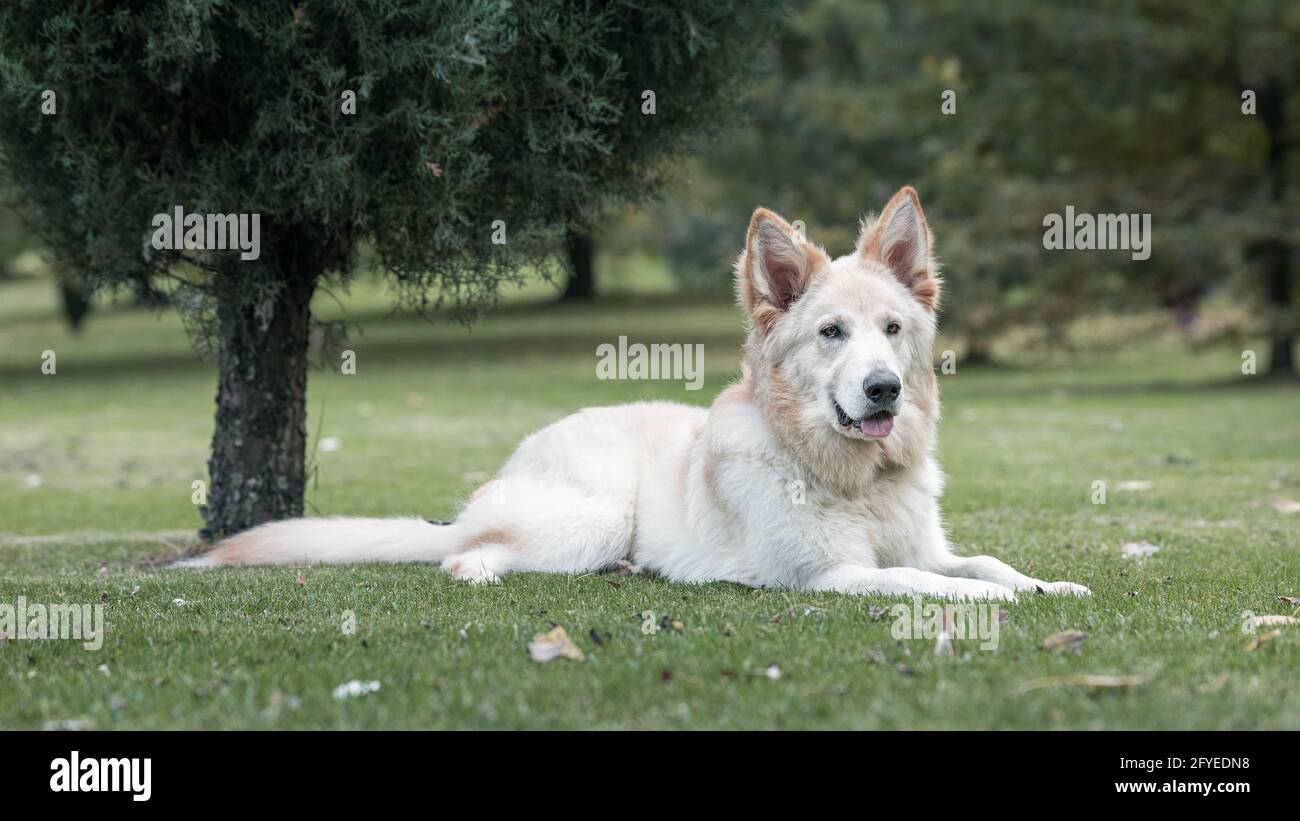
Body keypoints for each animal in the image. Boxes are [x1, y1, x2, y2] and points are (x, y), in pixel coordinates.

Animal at [188, 184, 1092, 602]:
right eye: (832, 333)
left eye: (893, 330)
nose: (883, 390)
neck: (855, 481)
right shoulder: (828, 577)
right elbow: (934, 583)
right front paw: (994, 602)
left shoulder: (925, 544)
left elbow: (982, 561)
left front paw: (1047, 586)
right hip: (589, 516)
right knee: (463, 552)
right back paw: (485, 570)